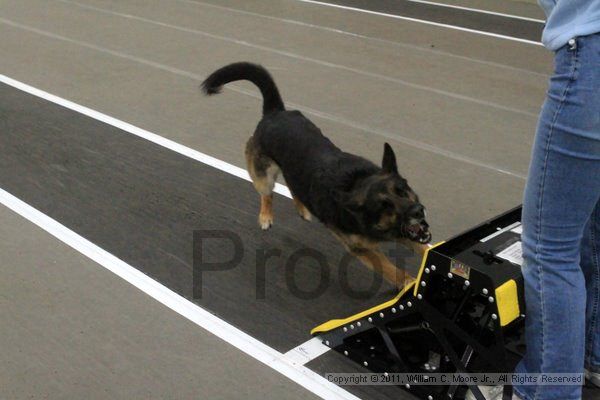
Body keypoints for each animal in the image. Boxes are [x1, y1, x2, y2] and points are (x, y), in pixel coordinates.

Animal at [202, 61, 432, 288]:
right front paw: (410, 283)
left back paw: (302, 208)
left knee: (294, 186)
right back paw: (266, 216)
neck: (356, 183)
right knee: (267, 195)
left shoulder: (407, 231)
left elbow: (423, 246)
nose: (419, 211)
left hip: (293, 170)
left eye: (401, 190)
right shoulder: (363, 250)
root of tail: (275, 112)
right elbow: (393, 271)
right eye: (385, 205)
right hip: (263, 176)